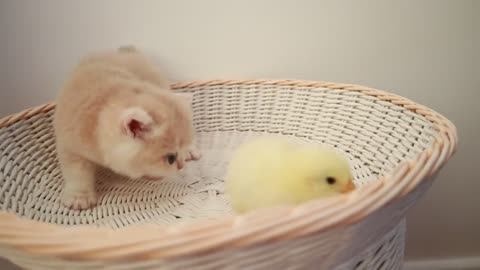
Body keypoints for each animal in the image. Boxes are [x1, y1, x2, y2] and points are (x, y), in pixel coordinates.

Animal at [53, 46, 200, 210]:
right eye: (171, 158)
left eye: (176, 157)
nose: (181, 166)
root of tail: (126, 50)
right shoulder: (69, 147)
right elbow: (76, 173)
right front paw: (79, 196)